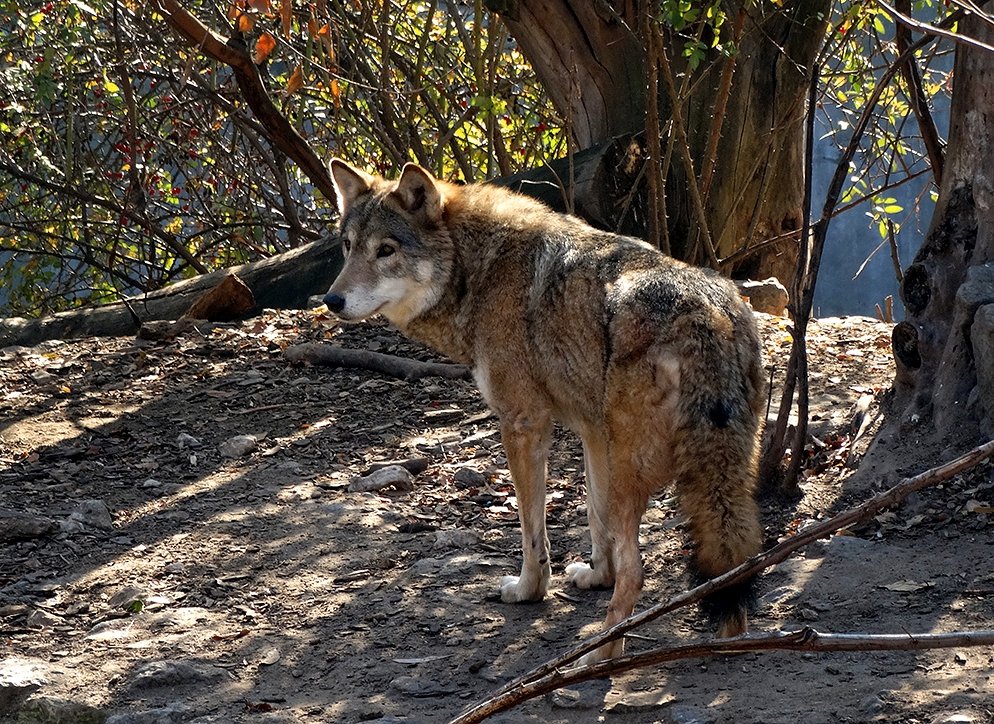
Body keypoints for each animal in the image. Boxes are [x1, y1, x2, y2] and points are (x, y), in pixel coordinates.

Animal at [322, 161, 764, 664]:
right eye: (348, 246)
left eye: (386, 250)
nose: (331, 301)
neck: (479, 270)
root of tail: (707, 317)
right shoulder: (592, 432)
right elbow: (594, 518)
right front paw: (596, 576)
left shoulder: (523, 423)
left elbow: (532, 529)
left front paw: (528, 589)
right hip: (710, 470)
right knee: (732, 559)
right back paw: (728, 638)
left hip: (634, 469)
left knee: (639, 571)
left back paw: (601, 654)